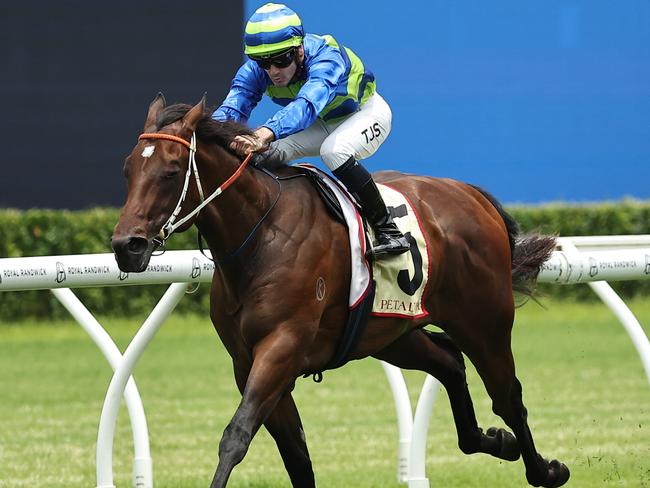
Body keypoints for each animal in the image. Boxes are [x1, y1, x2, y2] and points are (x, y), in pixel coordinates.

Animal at [111, 93, 568, 486]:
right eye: (128, 169)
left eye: (171, 172)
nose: (125, 246)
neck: (262, 236)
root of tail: (471, 194)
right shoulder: (247, 362)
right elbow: (296, 455)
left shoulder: (282, 347)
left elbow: (236, 436)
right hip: (389, 332)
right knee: (449, 362)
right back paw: (496, 441)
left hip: (483, 322)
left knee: (507, 396)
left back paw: (546, 470)